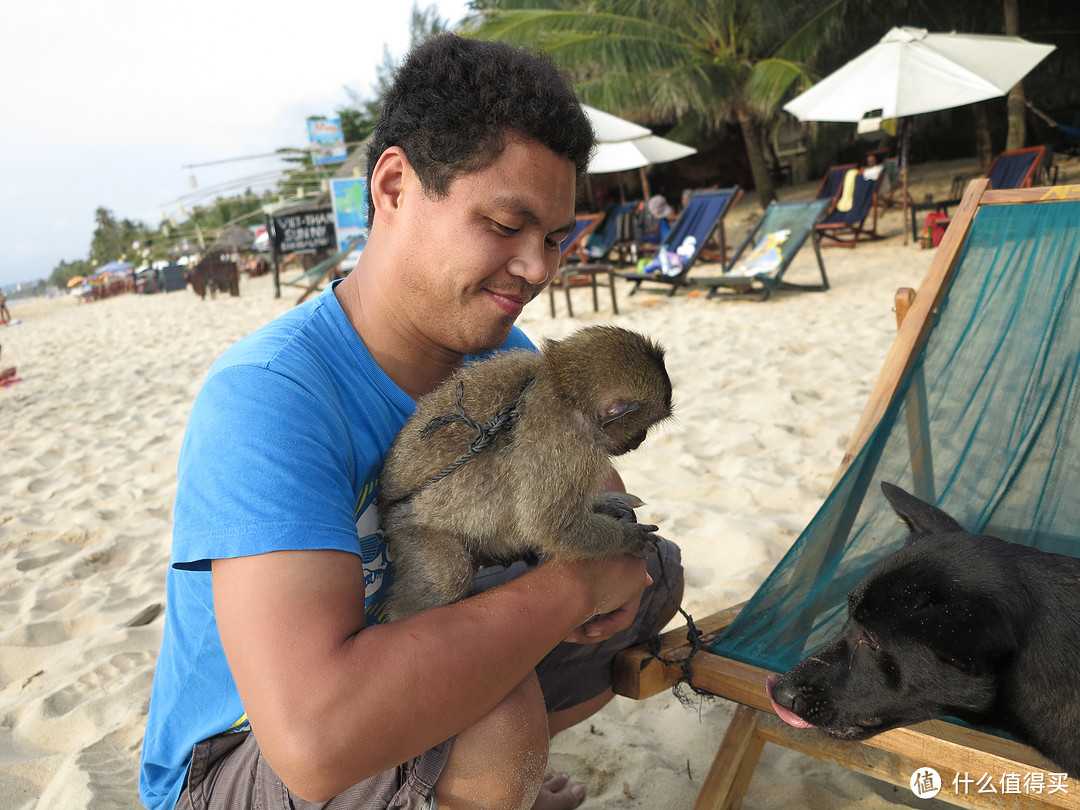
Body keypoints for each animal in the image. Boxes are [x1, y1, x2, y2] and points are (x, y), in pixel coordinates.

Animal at [375, 324, 669, 622]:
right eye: (643, 428)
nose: (641, 439)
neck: (564, 391)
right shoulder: (566, 442)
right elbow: (550, 526)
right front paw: (626, 539)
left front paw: (604, 505)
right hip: (405, 530)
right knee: (449, 574)